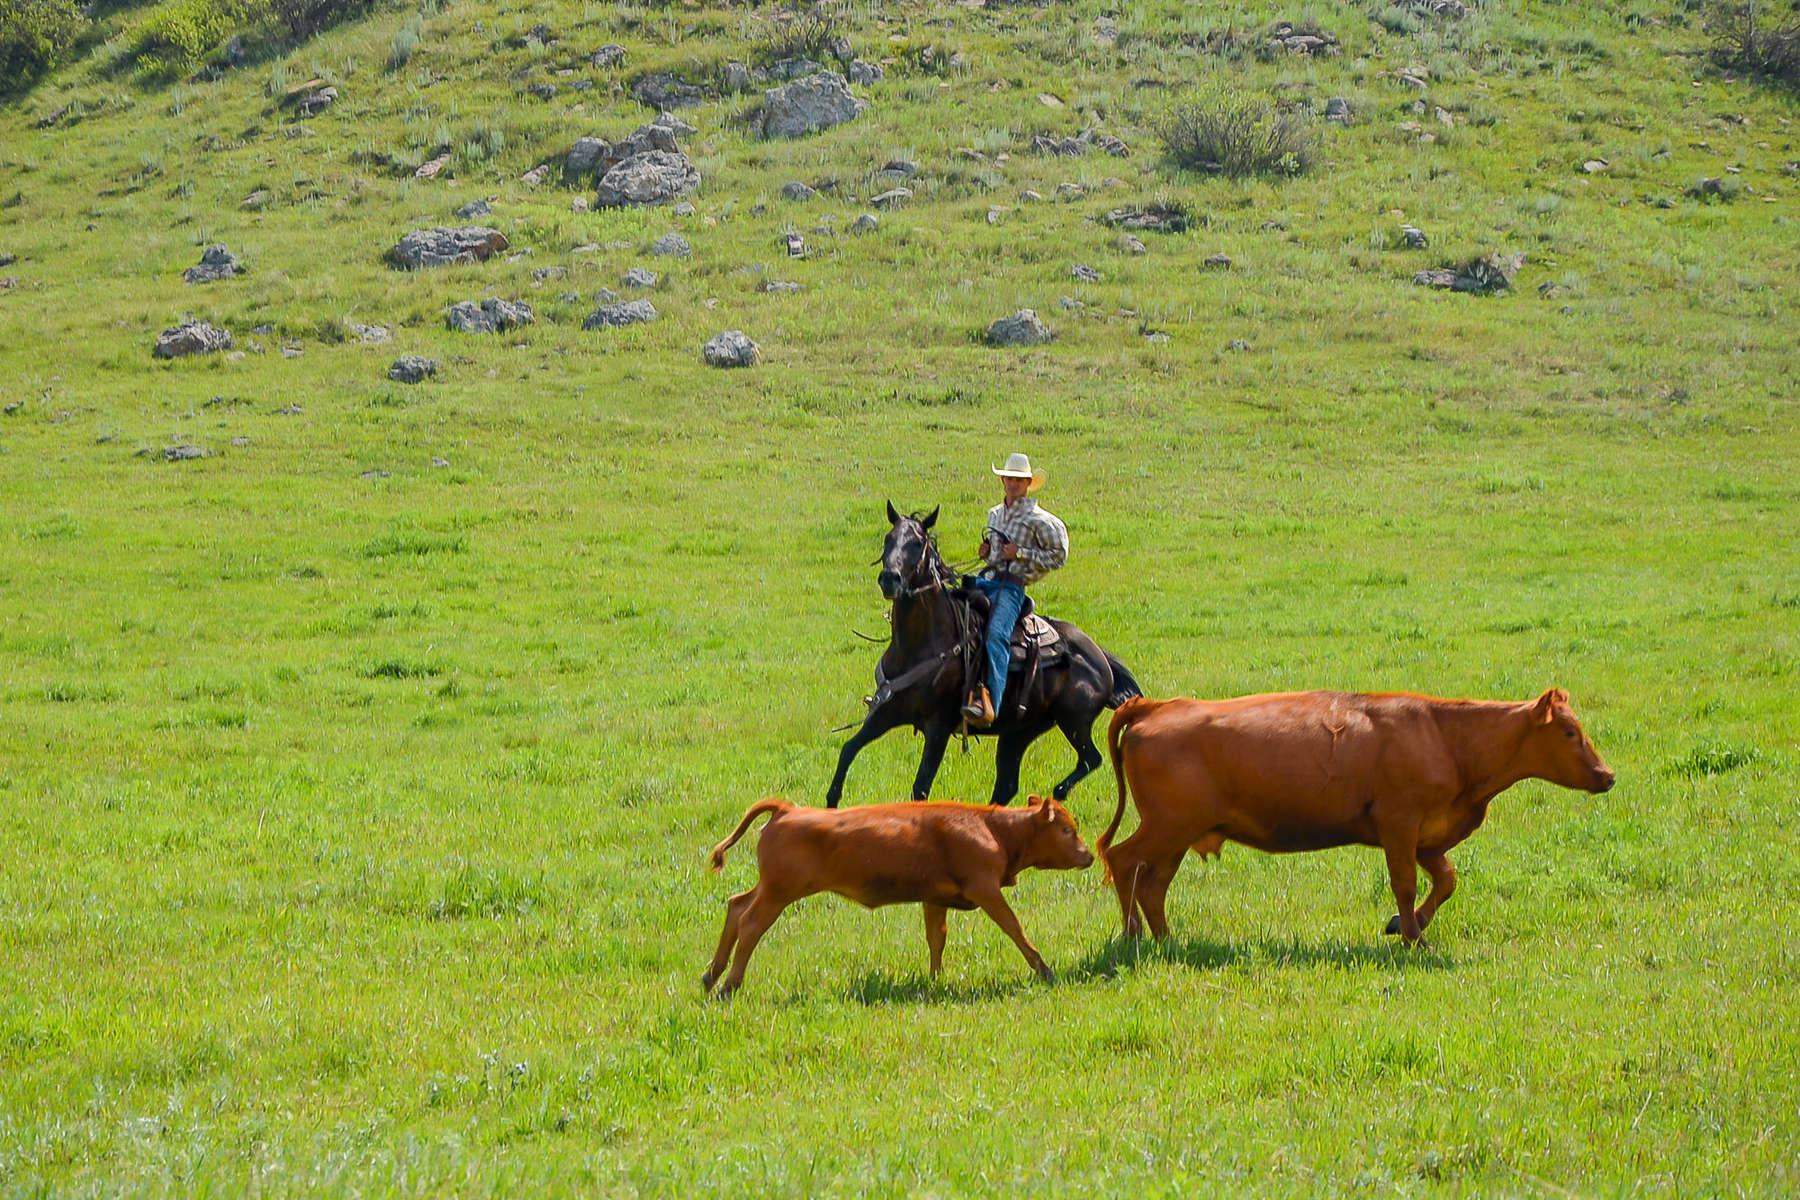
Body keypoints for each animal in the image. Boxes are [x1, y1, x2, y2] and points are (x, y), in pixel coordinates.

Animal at [702, 798, 1094, 993]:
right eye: (1066, 829)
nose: (1089, 856)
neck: (991, 828)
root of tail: (788, 809)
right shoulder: (985, 890)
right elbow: (1014, 928)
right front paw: (1044, 969)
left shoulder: (934, 899)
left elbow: (937, 938)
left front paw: (935, 980)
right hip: (778, 893)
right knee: (751, 924)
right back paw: (730, 985)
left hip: (770, 888)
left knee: (736, 906)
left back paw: (712, 975)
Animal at [824, 503, 1144, 813]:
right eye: (888, 539)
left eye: (917, 543)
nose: (890, 579)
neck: (919, 644)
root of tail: (1100, 657)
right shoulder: (886, 712)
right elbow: (848, 749)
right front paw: (830, 805)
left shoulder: (938, 727)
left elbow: (921, 788)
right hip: (1020, 732)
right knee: (1007, 786)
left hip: (1074, 721)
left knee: (1091, 758)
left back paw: (1059, 791)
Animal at [1094, 690, 1620, 942]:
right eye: (1569, 732)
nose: (1607, 775)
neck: (1445, 735)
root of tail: (1154, 707)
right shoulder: (1399, 824)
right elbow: (1406, 885)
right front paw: (1414, 938)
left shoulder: (1426, 836)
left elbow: (1446, 879)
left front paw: (1404, 925)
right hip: (1167, 827)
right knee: (1124, 862)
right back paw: (1134, 936)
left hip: (1178, 835)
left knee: (1152, 884)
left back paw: (1166, 939)